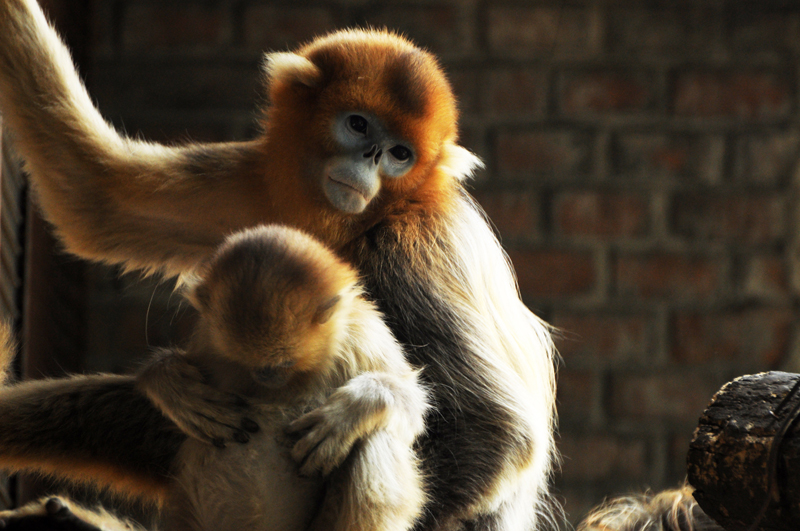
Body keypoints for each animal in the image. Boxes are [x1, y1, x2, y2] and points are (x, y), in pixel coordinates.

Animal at [0, 224, 429, 531]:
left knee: (373, 440)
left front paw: (352, 410)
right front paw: (171, 384)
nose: (266, 376)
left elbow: (410, 411)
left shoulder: (362, 334)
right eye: (257, 366)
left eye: (281, 364)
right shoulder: (208, 338)